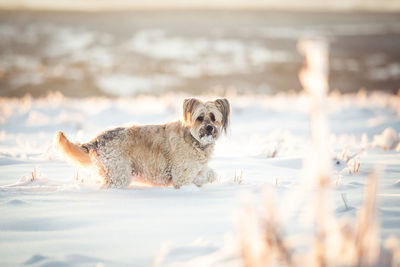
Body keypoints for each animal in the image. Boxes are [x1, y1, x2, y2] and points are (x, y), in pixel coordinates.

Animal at [54, 98, 230, 188]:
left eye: (213, 117)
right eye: (200, 117)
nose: (209, 128)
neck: (193, 139)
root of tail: (97, 140)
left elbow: (208, 174)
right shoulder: (182, 174)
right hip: (119, 173)